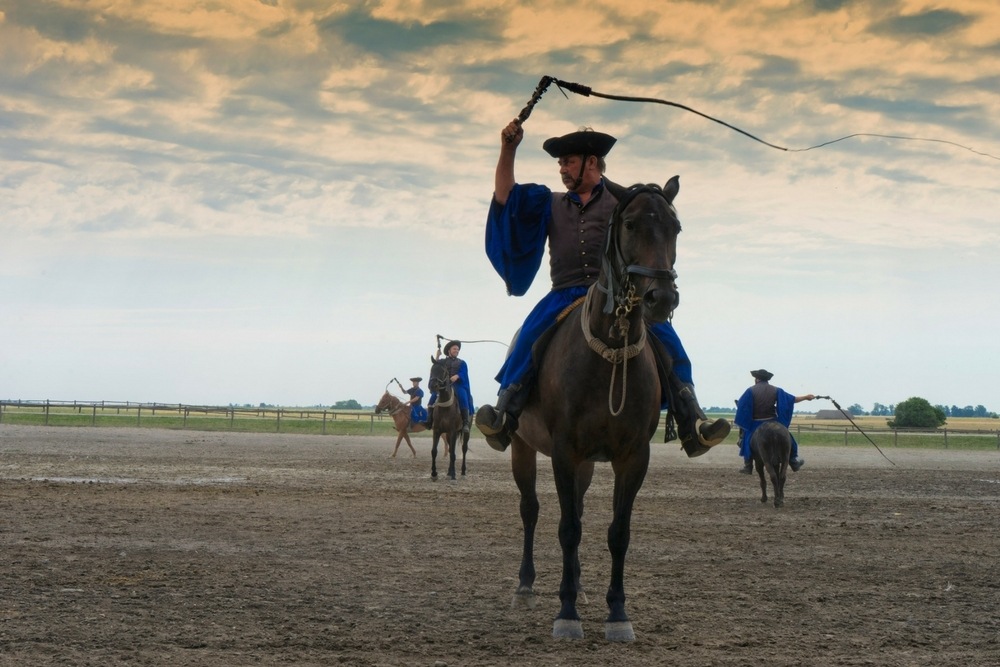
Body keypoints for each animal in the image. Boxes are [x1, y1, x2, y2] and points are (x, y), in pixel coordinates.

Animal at [504, 177, 684, 640]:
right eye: (631, 224)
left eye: (675, 228)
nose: (661, 297)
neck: (610, 357)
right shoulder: (563, 452)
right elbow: (567, 529)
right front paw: (566, 613)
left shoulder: (633, 457)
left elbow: (617, 532)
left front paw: (617, 613)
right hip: (523, 448)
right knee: (531, 510)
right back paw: (525, 586)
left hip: (585, 464)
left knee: (580, 512)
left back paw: (581, 585)